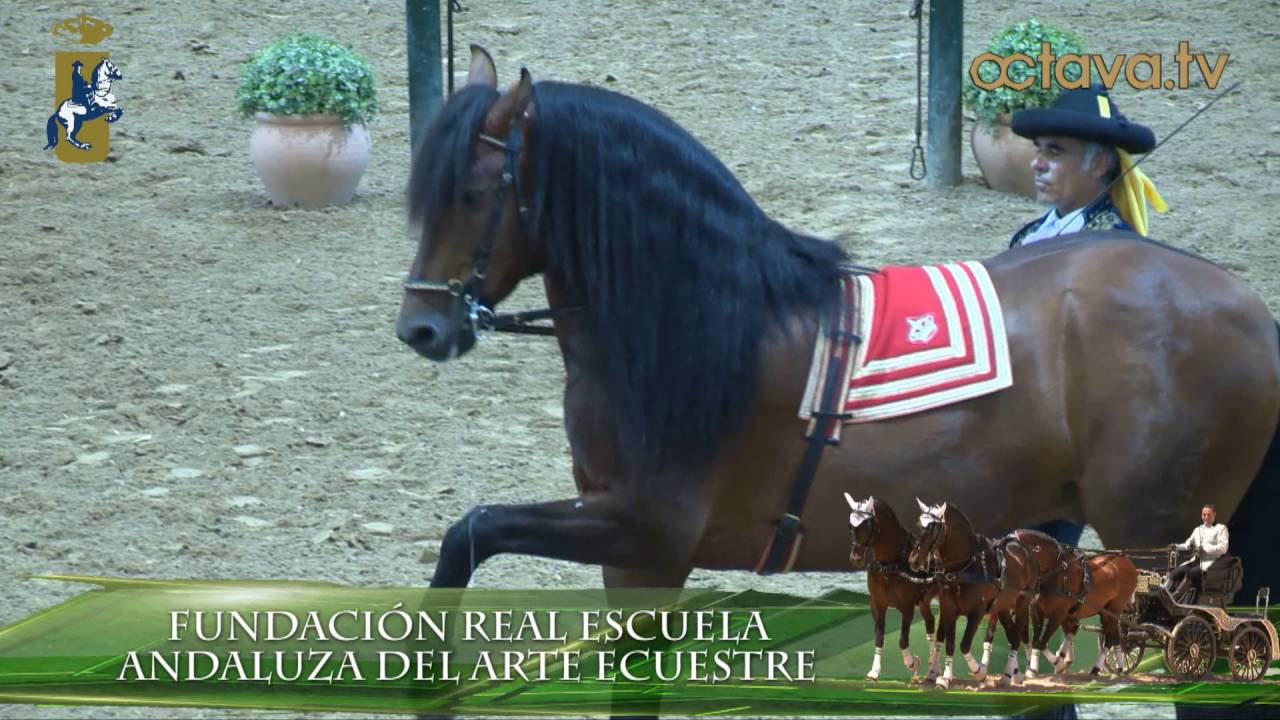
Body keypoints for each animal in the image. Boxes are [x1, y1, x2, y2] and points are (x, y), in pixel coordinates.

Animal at [394, 46, 1280, 610]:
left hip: (1156, 533)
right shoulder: (635, 556)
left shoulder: (645, 531)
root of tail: (1249, 308)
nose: (421, 329)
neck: (701, 318)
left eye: (471, 193)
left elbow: (470, 531)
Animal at [844, 494, 937, 682]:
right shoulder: (878, 604)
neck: (890, 564)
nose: (856, 558)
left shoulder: (907, 607)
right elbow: (879, 637)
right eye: (851, 526)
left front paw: (912, 663)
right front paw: (874, 670)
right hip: (924, 601)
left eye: (868, 525)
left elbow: (903, 640)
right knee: (930, 623)